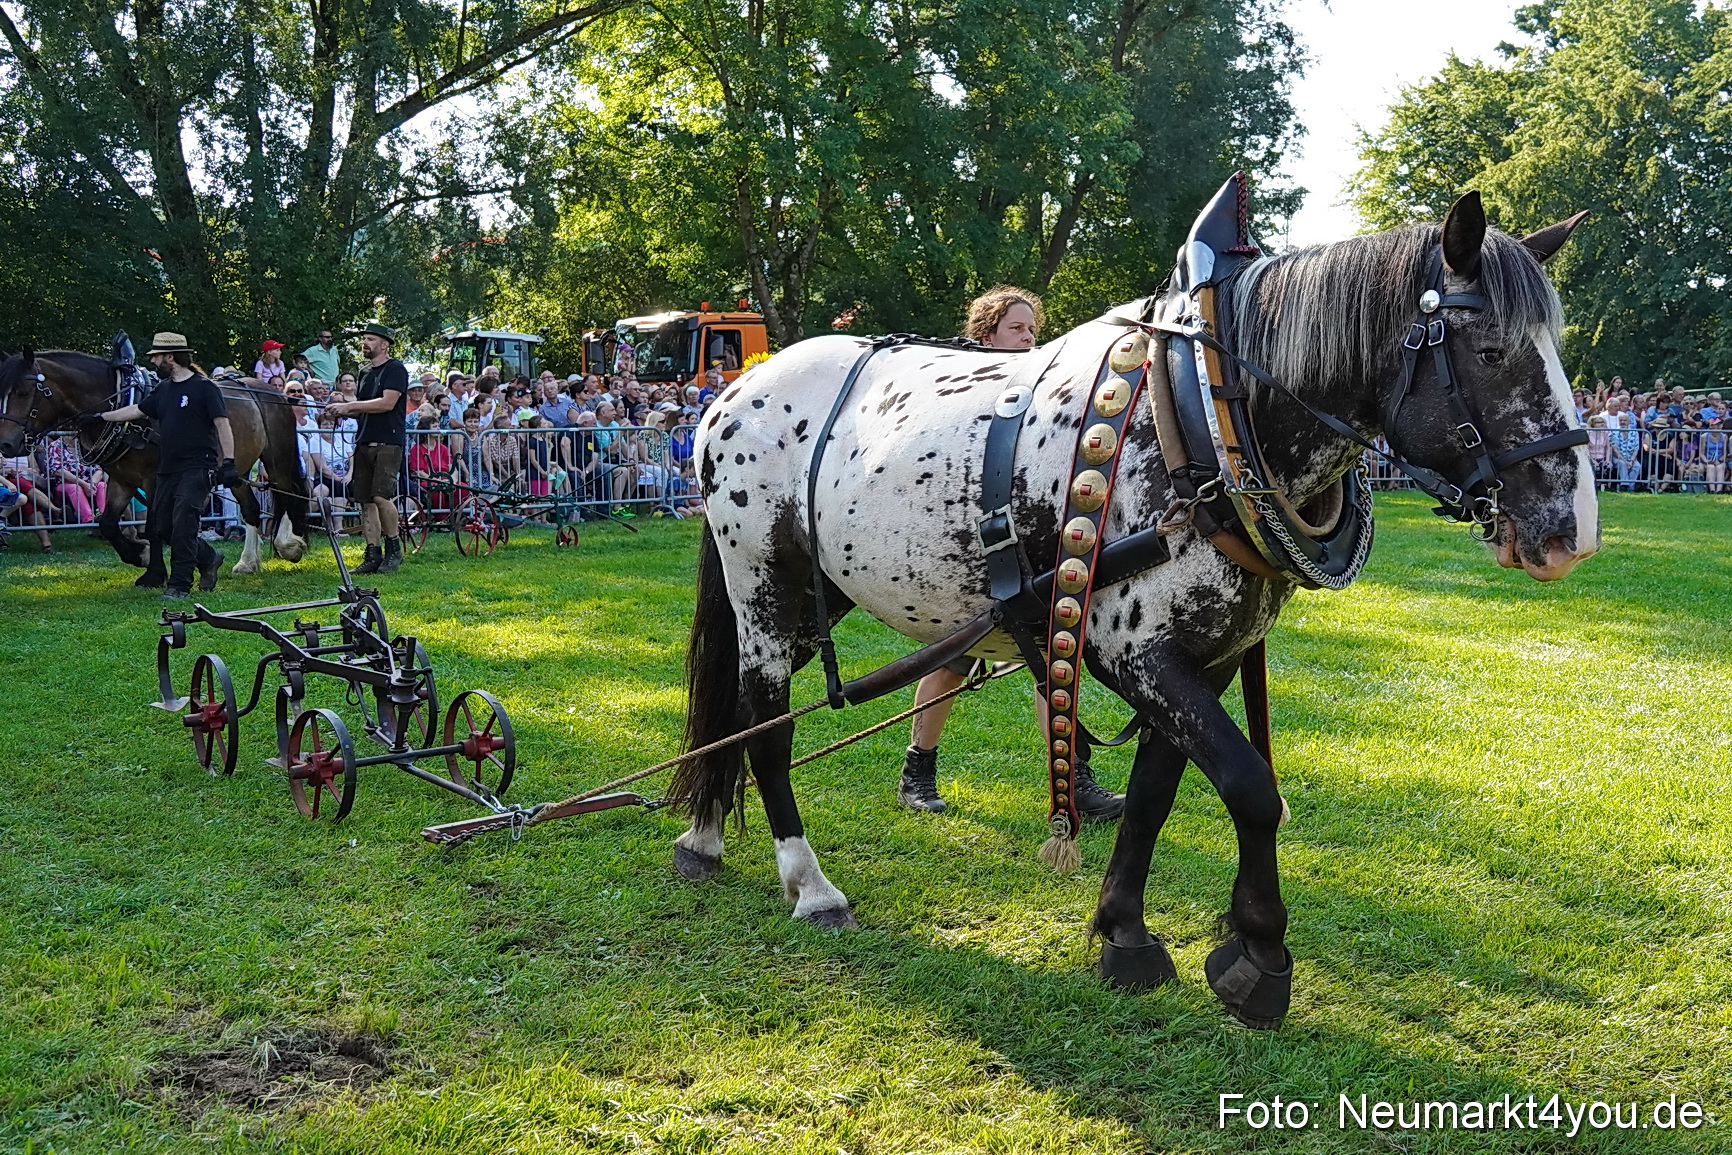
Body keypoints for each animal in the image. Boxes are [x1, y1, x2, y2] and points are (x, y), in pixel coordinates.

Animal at [0, 350, 309, 576]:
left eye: (23, 393)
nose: (6, 444)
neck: (128, 412)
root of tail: (270, 391)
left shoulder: (153, 479)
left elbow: (155, 526)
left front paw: (154, 571)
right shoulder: (123, 480)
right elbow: (108, 523)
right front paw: (141, 555)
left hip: (277, 457)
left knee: (288, 492)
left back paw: (289, 544)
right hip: (237, 469)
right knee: (252, 509)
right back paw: (247, 562)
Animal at [667, 186, 1598, 1029]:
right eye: (1490, 350)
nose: (1573, 531)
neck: (1203, 419)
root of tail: (733, 393)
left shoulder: (1207, 658)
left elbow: (1158, 791)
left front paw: (1125, 933)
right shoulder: (1132, 651)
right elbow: (1252, 786)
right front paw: (1258, 955)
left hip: (820, 591)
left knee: (735, 714)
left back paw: (704, 836)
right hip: (762, 576)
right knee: (767, 723)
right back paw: (810, 883)